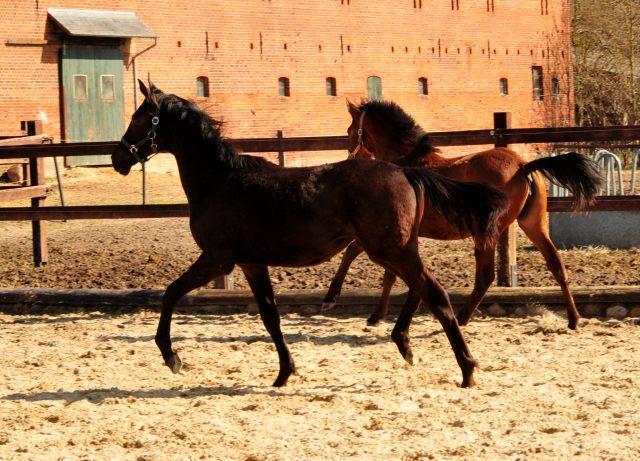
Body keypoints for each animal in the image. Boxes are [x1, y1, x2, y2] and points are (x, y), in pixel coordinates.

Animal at [111, 81, 510, 386]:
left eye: (137, 118)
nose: (117, 158)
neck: (220, 181)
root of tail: (405, 171)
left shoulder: (217, 259)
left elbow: (170, 293)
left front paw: (171, 356)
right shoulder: (251, 264)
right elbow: (270, 316)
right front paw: (284, 373)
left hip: (391, 250)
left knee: (436, 294)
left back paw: (466, 369)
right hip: (394, 250)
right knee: (423, 290)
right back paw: (408, 344)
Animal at [322, 99, 604, 330]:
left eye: (349, 131)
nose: (350, 158)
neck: (404, 161)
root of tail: (523, 166)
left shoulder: (389, 231)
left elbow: (356, 254)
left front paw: (333, 298)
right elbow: (385, 271)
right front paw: (375, 315)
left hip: (487, 231)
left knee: (486, 276)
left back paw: (462, 317)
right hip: (533, 224)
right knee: (556, 263)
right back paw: (573, 319)